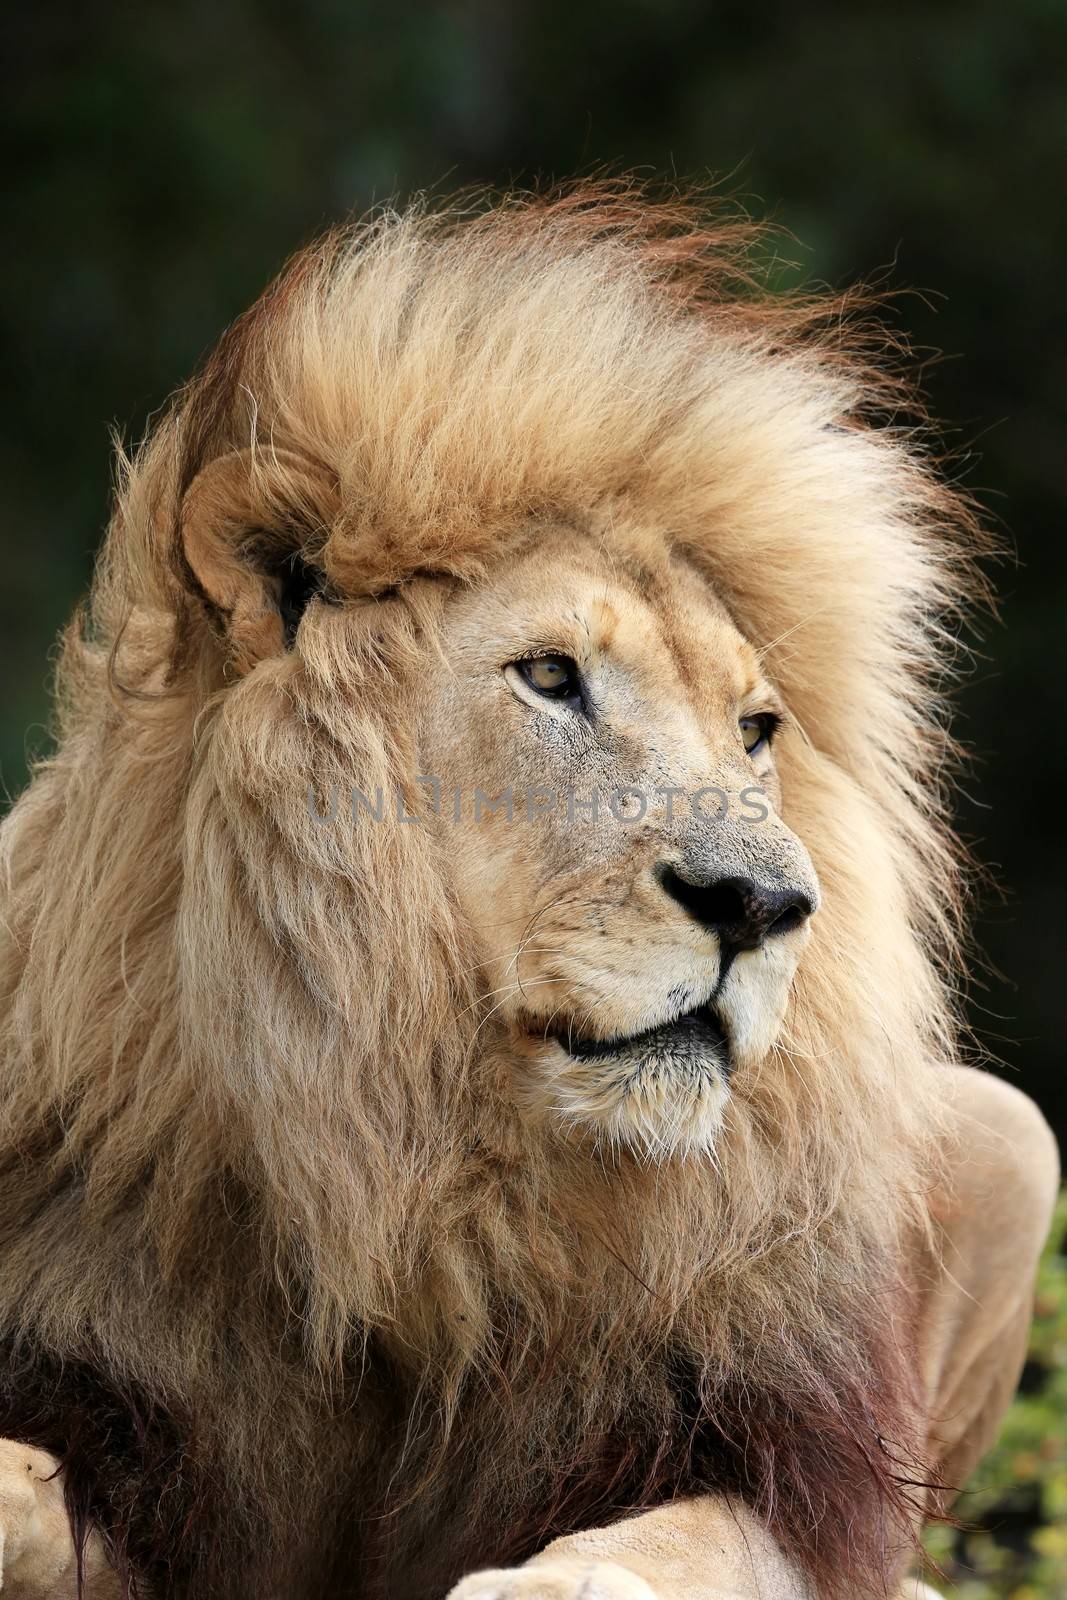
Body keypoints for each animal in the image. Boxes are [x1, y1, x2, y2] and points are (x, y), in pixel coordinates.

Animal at [0, 190, 1062, 1600]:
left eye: (754, 729)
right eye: (550, 676)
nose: (761, 904)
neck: (417, 1167)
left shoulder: (768, 1450)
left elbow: (683, 1541)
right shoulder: (117, 1400)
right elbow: (22, 1482)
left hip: (1009, 1133)